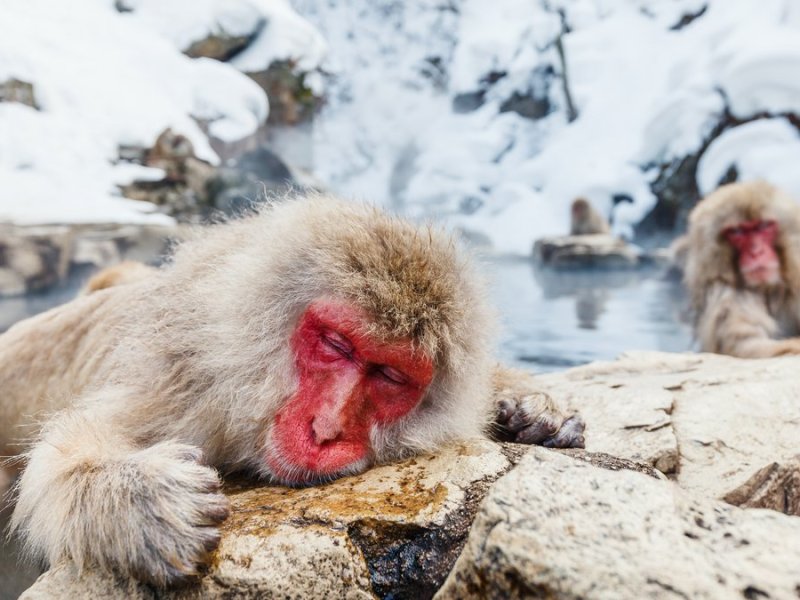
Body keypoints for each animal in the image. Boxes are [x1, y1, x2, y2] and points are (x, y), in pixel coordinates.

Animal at [1, 196, 588, 584]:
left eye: (390, 375)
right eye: (336, 345)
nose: (326, 428)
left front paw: (536, 406)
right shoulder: (183, 384)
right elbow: (67, 452)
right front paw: (139, 500)